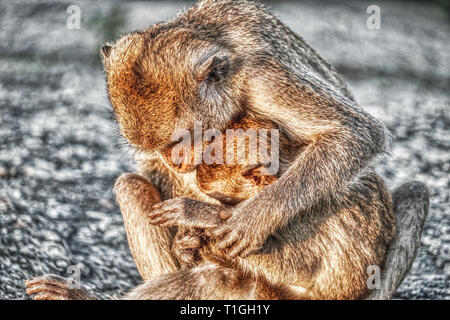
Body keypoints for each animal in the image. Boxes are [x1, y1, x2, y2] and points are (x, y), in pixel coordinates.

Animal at [25, 0, 428, 300]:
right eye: (159, 148)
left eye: (179, 141)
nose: (175, 160)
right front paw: (188, 237)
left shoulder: (264, 78)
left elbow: (354, 133)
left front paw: (246, 221)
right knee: (132, 188)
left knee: (415, 192)